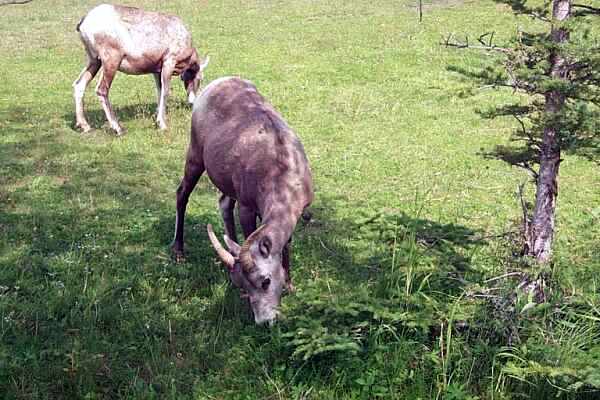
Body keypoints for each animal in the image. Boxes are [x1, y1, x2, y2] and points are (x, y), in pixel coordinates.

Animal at [72, 3, 210, 134]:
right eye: (200, 78)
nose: (192, 101)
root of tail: (84, 21)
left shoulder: (157, 71)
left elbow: (159, 91)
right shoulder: (168, 63)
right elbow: (165, 91)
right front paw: (162, 124)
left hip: (94, 61)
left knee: (79, 84)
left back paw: (85, 126)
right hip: (111, 61)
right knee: (101, 89)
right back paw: (118, 128)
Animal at [171, 76, 314, 324]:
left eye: (265, 281)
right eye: (242, 284)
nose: (264, 321)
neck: (282, 173)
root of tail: (216, 83)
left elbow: (286, 244)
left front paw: (289, 284)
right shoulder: (247, 207)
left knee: (224, 203)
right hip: (195, 155)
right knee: (182, 193)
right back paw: (179, 251)